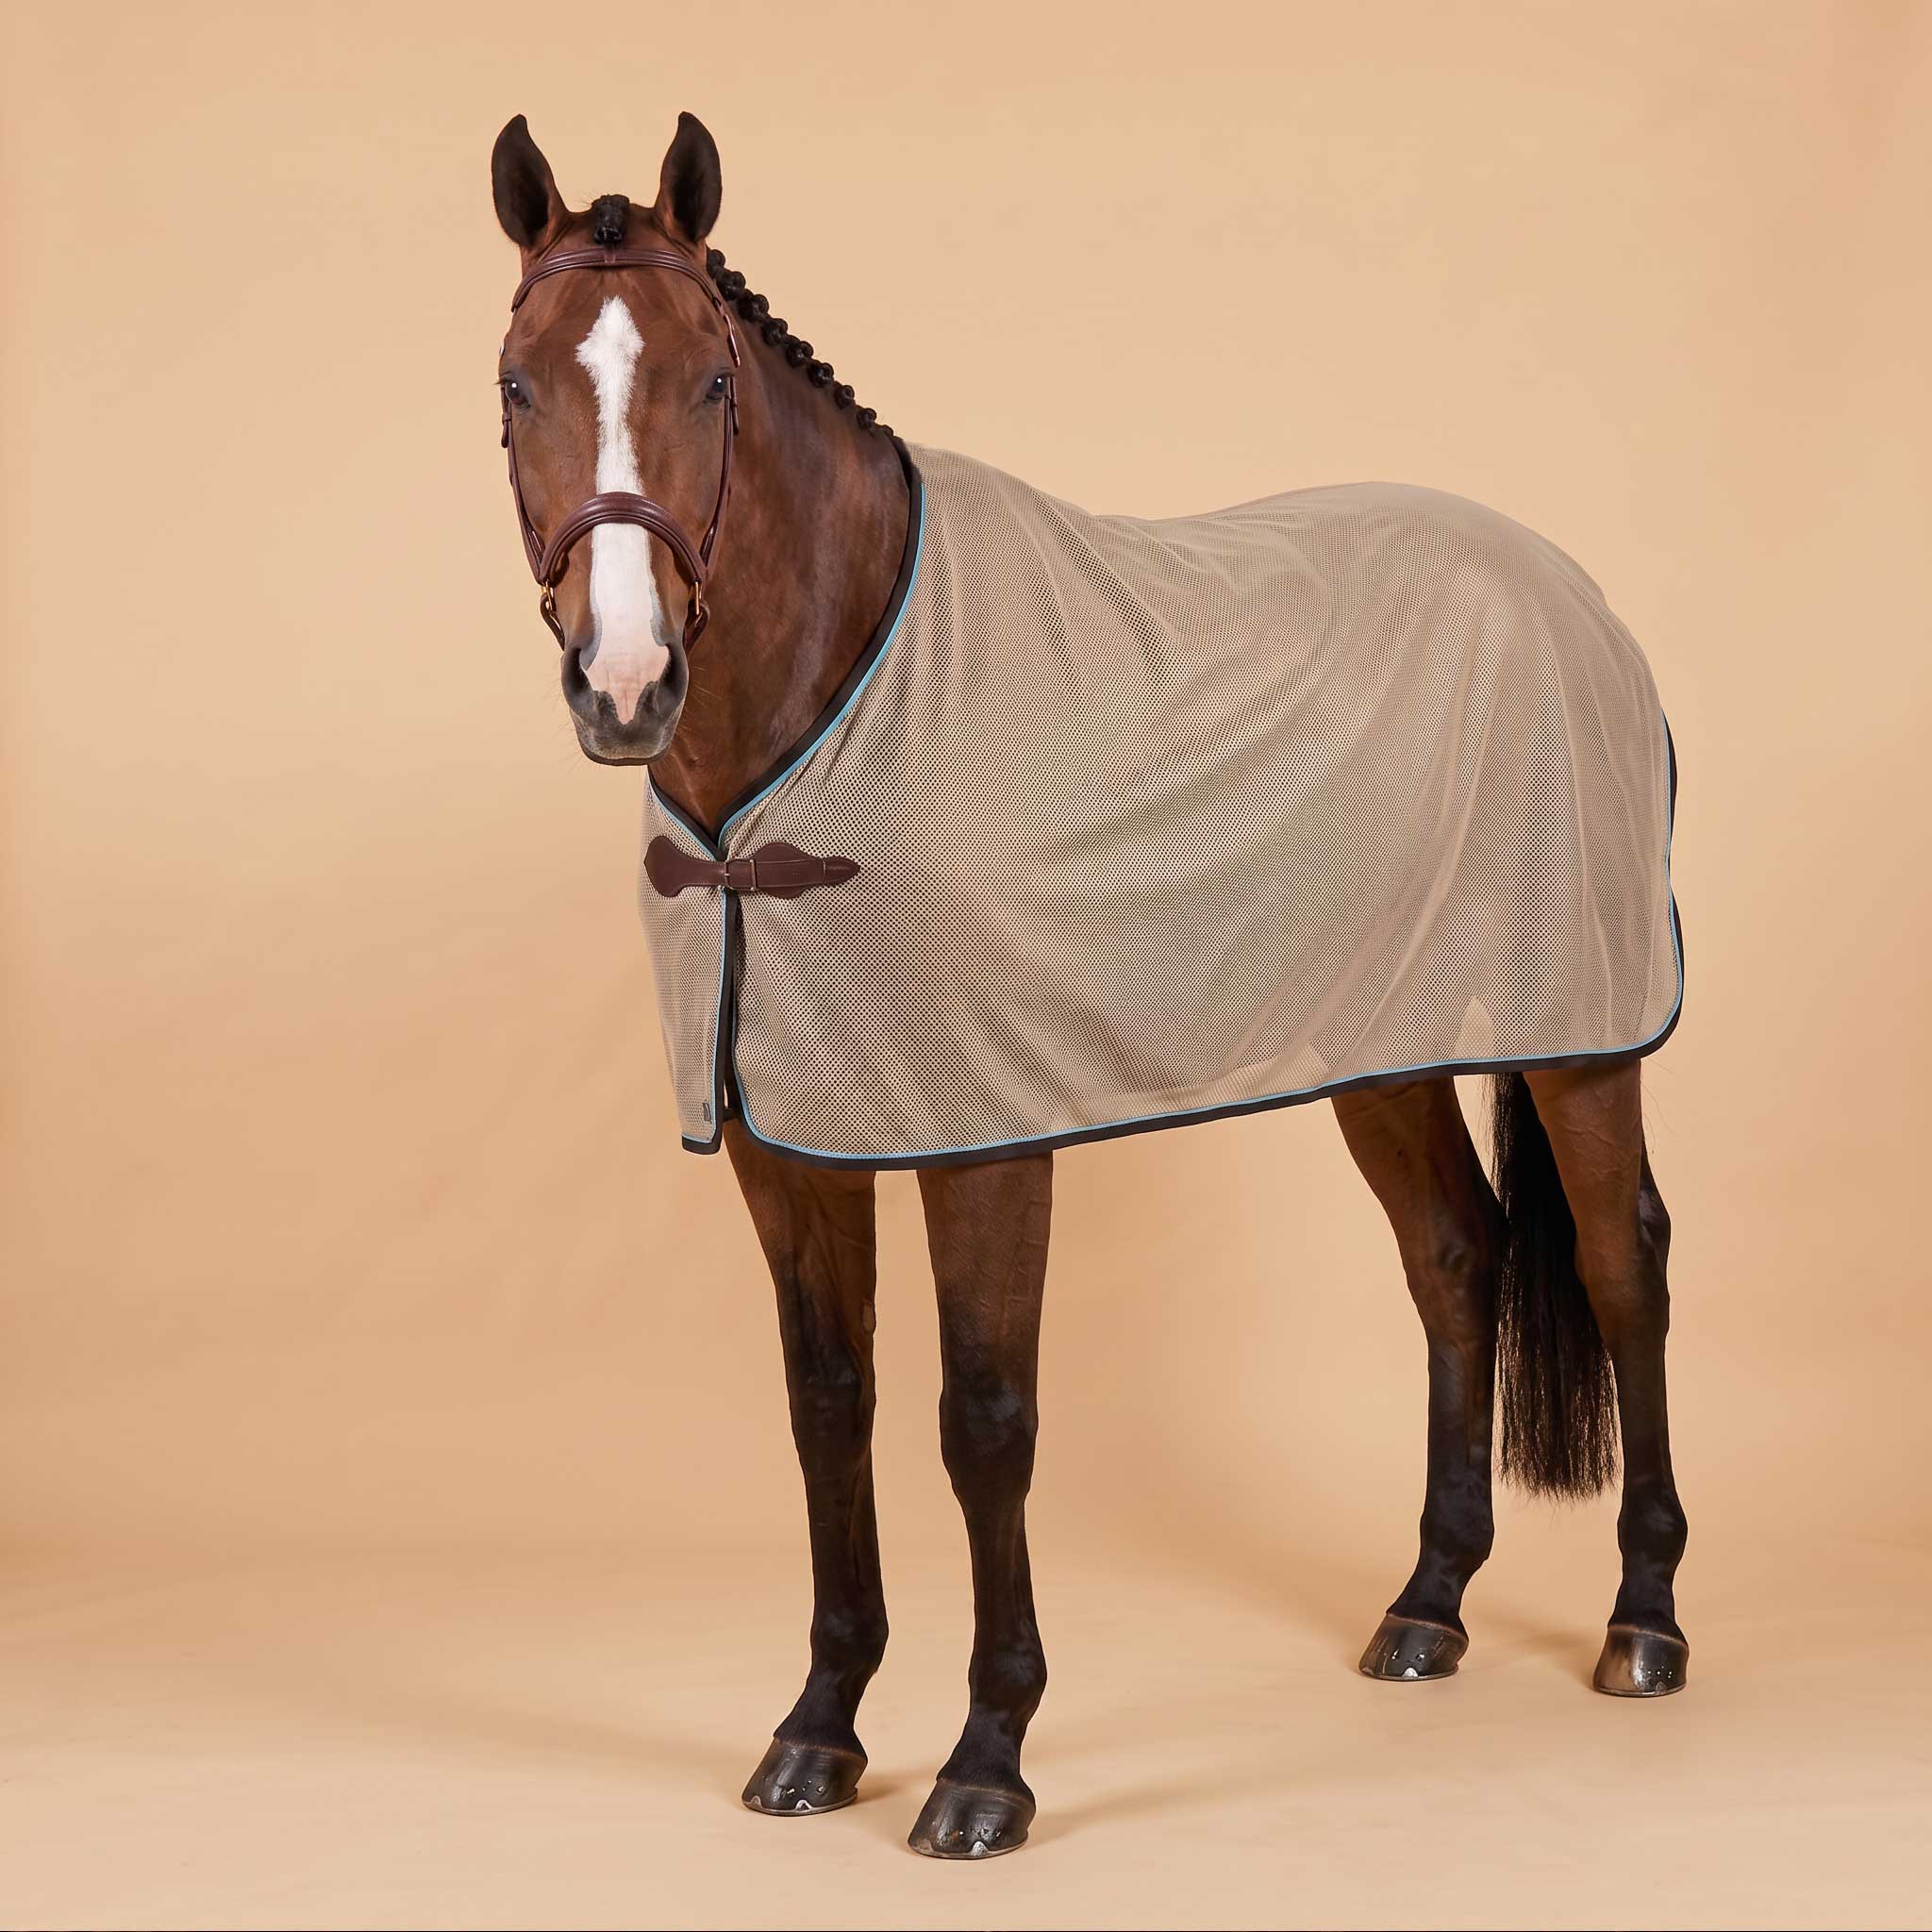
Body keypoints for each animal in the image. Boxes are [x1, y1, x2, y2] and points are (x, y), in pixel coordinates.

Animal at [488, 109, 1689, 1860]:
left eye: (711, 382)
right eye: (518, 384)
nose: (626, 682)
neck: (820, 720)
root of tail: (1573, 595)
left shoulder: (983, 1142)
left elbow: (984, 1420)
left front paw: (986, 1760)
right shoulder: (787, 1146)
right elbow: (828, 1405)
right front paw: (819, 1729)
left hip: (1583, 1032)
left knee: (1620, 1268)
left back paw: (1643, 1621)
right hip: (1380, 1040)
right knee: (1454, 1255)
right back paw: (1425, 1605)